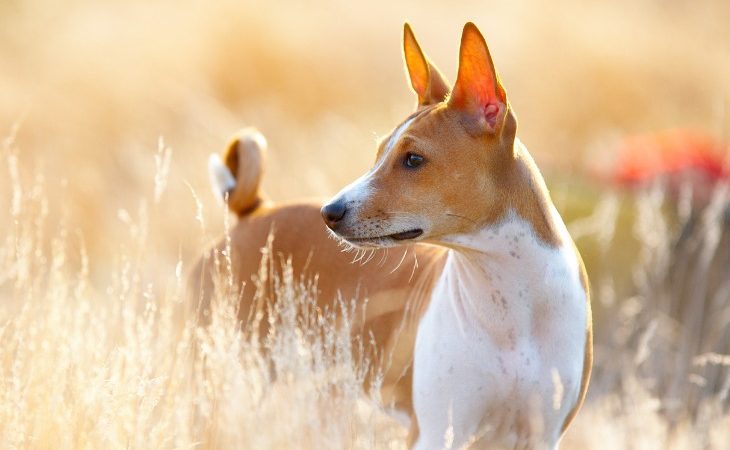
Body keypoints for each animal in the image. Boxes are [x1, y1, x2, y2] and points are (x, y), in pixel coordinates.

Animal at [191, 22, 588, 450]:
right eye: (380, 152)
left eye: (413, 160)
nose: (329, 212)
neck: (511, 306)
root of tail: (254, 211)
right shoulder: (435, 432)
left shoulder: (540, 434)